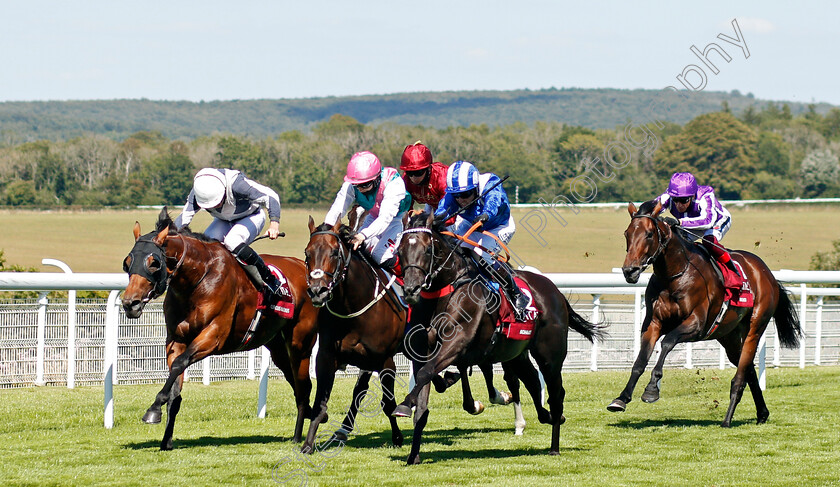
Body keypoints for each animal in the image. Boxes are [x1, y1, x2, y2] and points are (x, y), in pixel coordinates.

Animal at [123, 209, 320, 450]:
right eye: (127, 262)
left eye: (153, 263)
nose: (130, 303)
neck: (197, 279)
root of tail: (303, 268)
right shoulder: (176, 340)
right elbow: (175, 386)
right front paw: (166, 439)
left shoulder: (213, 337)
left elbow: (180, 365)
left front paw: (153, 410)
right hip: (278, 348)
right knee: (296, 384)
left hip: (300, 344)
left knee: (304, 386)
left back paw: (298, 435)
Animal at [300, 219, 408, 456]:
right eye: (307, 253)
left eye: (334, 253)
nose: (318, 291)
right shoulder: (327, 357)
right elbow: (322, 403)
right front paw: (308, 444)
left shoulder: (386, 360)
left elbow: (388, 403)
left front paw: (397, 437)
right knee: (360, 389)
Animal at [392, 214, 604, 466]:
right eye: (400, 250)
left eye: (426, 250)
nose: (411, 290)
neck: (447, 291)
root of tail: (555, 292)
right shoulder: (423, 352)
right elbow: (423, 400)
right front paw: (413, 454)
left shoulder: (456, 343)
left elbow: (427, 374)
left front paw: (404, 405)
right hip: (516, 353)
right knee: (532, 380)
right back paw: (547, 417)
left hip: (550, 356)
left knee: (556, 393)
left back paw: (554, 443)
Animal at [612, 199, 800, 428]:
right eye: (627, 233)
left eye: (649, 234)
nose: (629, 271)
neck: (675, 275)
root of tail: (766, 273)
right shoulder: (653, 323)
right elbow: (640, 361)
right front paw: (621, 398)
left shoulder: (696, 324)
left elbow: (667, 342)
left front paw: (651, 390)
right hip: (728, 337)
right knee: (749, 370)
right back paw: (762, 413)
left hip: (755, 328)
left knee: (740, 376)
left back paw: (727, 420)